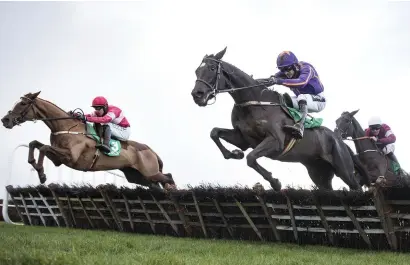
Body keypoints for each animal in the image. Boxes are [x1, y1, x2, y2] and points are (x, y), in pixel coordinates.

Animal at [0, 91, 176, 190]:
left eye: (22, 103)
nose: (5, 120)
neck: (66, 126)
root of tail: (151, 151)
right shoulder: (58, 159)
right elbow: (35, 144)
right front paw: (37, 168)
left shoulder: (70, 156)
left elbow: (43, 148)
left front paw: (41, 173)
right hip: (137, 176)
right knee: (156, 186)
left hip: (150, 172)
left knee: (168, 177)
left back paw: (174, 191)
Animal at [191, 47, 366, 190]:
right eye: (196, 71)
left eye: (212, 68)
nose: (197, 95)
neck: (253, 102)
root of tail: (338, 138)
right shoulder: (243, 139)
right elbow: (215, 133)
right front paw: (234, 153)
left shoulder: (276, 141)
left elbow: (251, 158)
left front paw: (275, 182)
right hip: (318, 172)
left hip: (344, 169)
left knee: (355, 186)